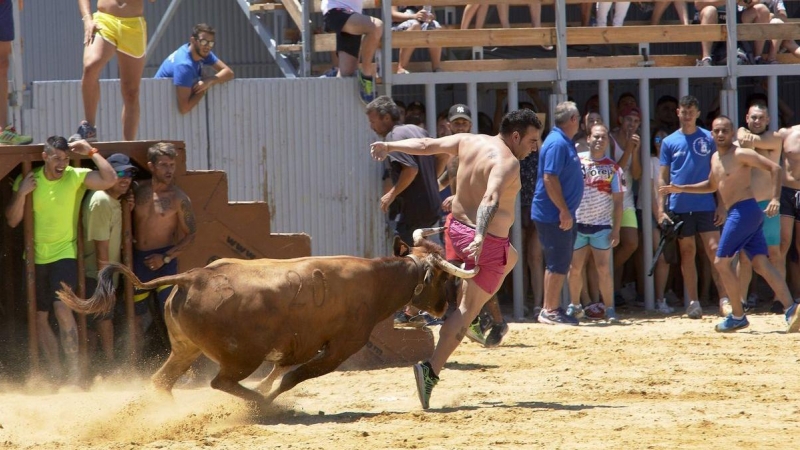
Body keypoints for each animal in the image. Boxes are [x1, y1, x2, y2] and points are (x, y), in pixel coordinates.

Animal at [62, 229, 478, 408]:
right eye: (444, 278)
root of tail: (191, 276)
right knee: (220, 382)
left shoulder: (302, 347)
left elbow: (282, 370)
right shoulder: (339, 349)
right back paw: (262, 405)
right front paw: (271, 396)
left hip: (184, 349)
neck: (373, 281)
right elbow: (291, 378)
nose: (445, 307)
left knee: (162, 381)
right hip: (239, 357)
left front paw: (268, 388)